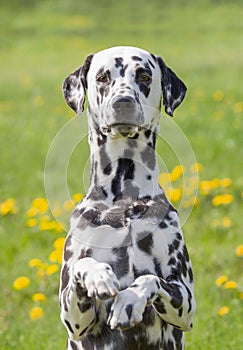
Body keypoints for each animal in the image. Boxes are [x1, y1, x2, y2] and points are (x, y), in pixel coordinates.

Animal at [60, 47, 196, 350]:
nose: (123, 102)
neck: (124, 200)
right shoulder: (72, 317)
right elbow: (82, 266)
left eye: (144, 76)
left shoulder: (186, 301)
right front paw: (99, 277)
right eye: (102, 77)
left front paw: (129, 300)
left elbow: (150, 278)